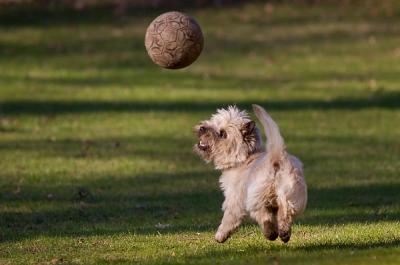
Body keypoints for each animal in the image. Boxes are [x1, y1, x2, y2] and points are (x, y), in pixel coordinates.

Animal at [193, 104, 306, 242]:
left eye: (222, 133)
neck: (243, 159)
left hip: (256, 197)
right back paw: (284, 234)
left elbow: (229, 218)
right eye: (213, 122)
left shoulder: (234, 199)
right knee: (284, 214)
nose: (202, 128)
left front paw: (220, 235)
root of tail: (277, 157)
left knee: (265, 216)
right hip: (292, 196)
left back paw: (271, 233)